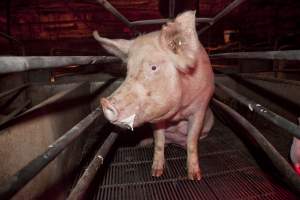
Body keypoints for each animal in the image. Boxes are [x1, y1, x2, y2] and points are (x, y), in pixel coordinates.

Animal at [93, 10, 213, 180]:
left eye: (153, 67)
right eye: (128, 70)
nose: (105, 103)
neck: (178, 111)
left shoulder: (200, 108)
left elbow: (191, 140)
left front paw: (195, 177)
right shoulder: (157, 118)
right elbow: (159, 141)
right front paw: (156, 173)